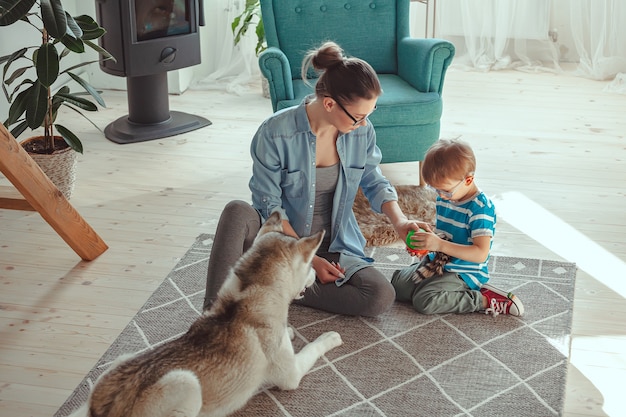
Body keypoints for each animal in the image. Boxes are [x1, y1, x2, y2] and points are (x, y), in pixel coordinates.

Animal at [70, 213, 342, 414]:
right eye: (310, 263)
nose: (316, 275)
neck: (251, 287)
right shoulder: (291, 375)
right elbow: (313, 347)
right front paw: (329, 337)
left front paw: (289, 332)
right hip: (187, 383)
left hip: (123, 358)